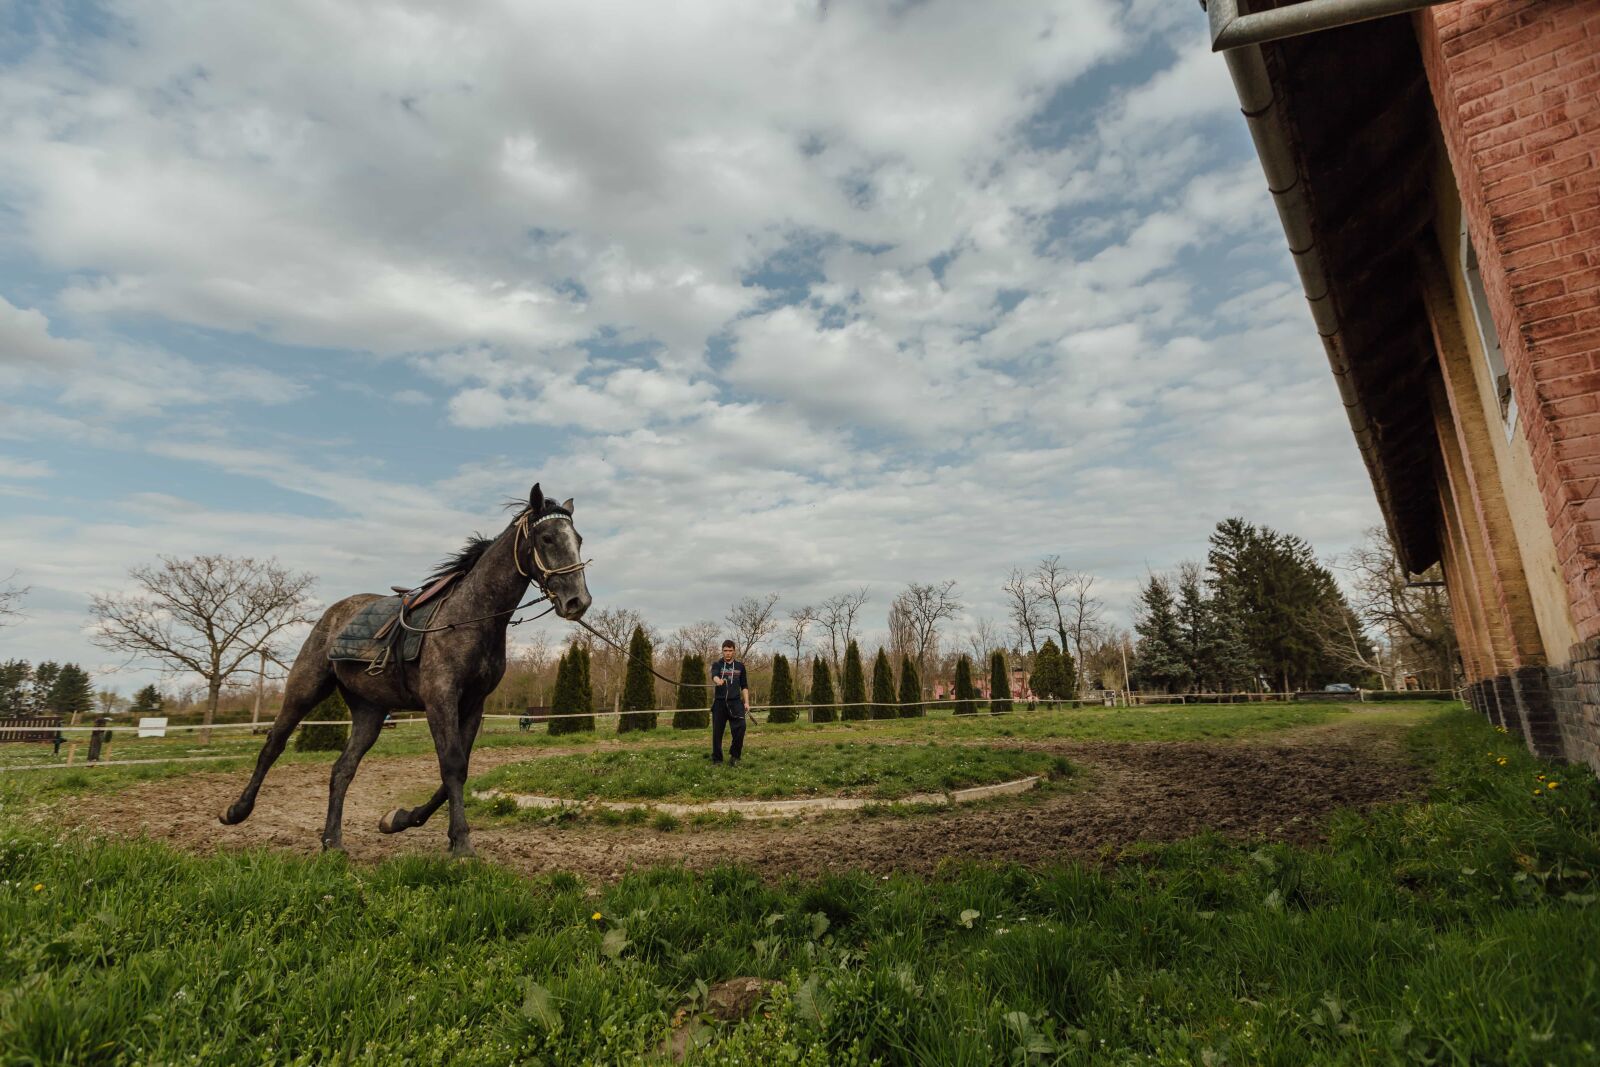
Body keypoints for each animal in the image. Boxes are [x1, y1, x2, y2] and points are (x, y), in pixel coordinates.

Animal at [220, 483, 591, 857]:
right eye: (546, 538)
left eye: (578, 538)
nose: (578, 601)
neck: (470, 616)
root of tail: (335, 613)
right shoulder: (440, 699)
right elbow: (452, 765)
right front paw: (461, 843)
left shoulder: (473, 705)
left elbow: (459, 768)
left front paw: (399, 819)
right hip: (305, 689)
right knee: (274, 744)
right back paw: (236, 811)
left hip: (369, 712)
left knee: (342, 769)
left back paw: (332, 840)